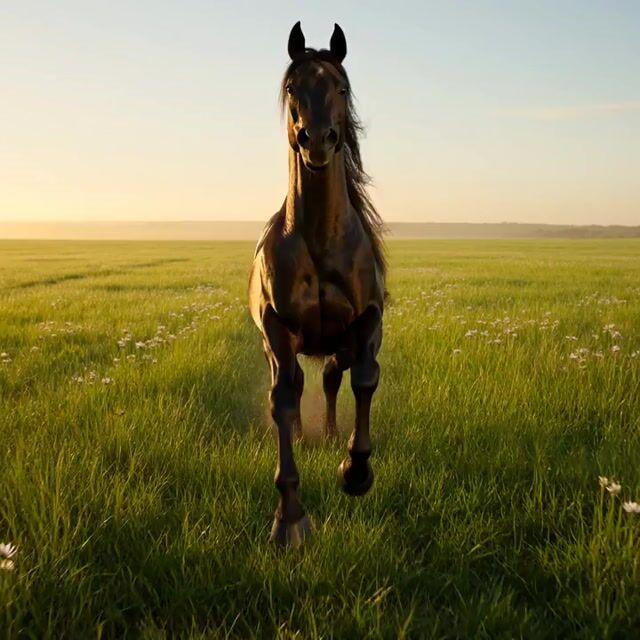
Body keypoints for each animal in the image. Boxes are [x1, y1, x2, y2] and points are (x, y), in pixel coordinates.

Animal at [249, 22, 386, 548]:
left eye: (340, 88)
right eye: (292, 87)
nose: (318, 142)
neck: (321, 240)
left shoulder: (369, 320)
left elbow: (365, 379)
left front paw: (356, 472)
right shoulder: (277, 330)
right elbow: (283, 401)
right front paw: (290, 518)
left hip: (339, 342)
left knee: (332, 376)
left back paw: (330, 436)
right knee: (306, 382)